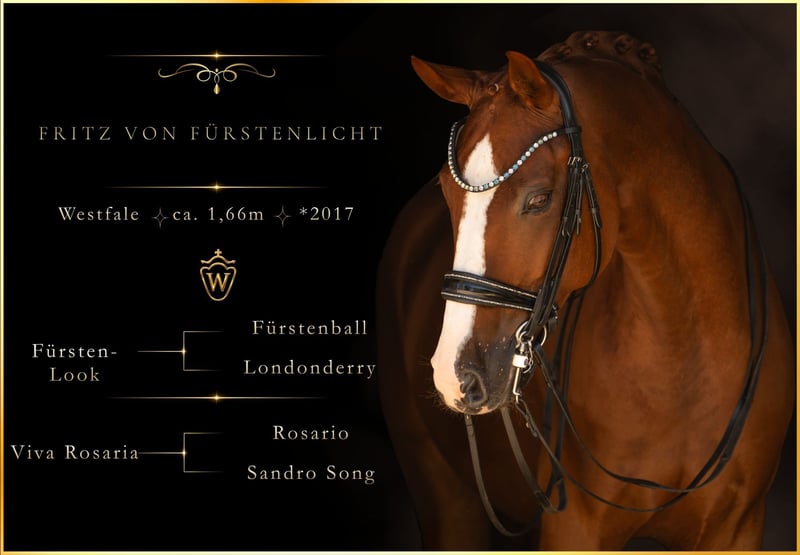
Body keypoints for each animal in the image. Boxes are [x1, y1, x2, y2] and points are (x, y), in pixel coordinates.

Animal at [377, 31, 795, 550]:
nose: (455, 375)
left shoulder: (736, 528)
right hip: (448, 504)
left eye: (539, 199)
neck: (686, 359)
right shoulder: (574, 525)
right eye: (447, 194)